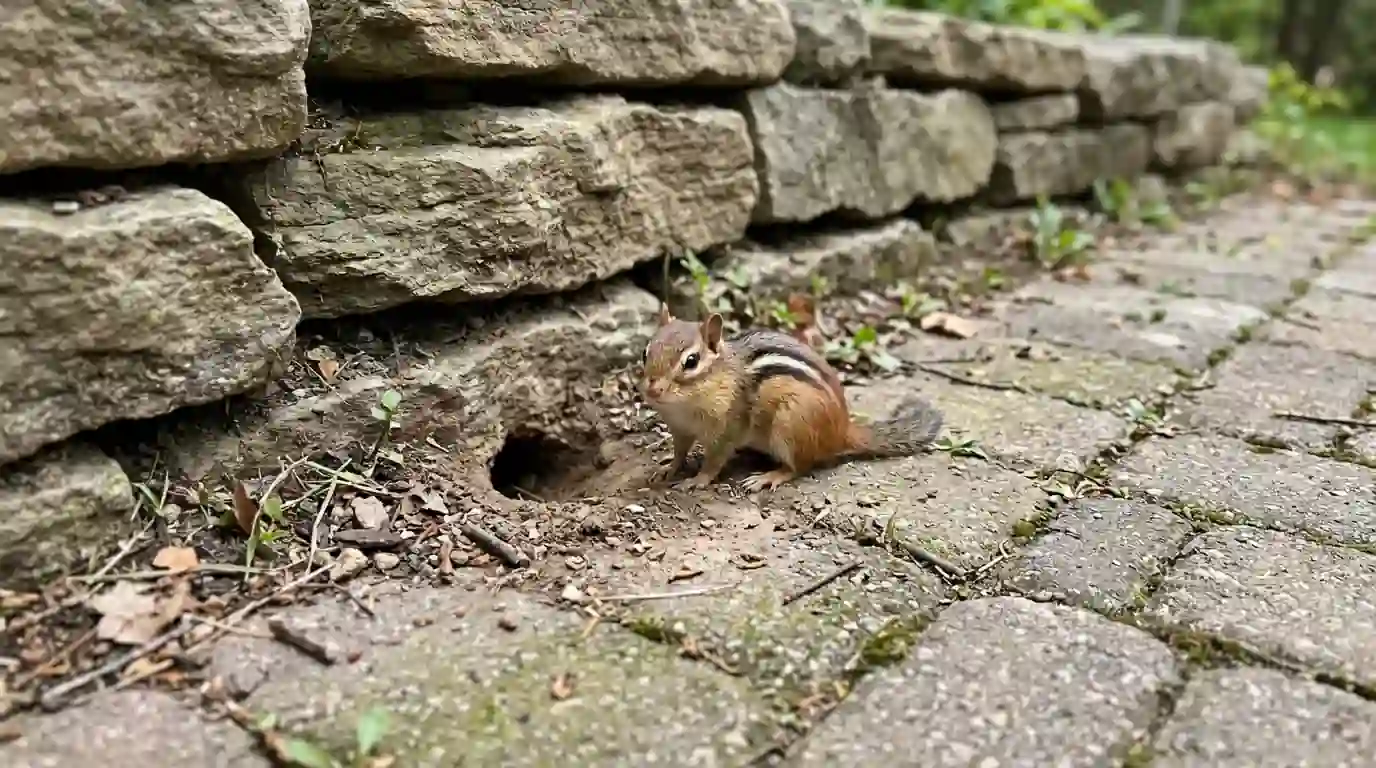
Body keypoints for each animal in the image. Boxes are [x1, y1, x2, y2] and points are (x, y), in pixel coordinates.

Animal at [640, 305, 944, 492]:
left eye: (691, 361)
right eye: (646, 352)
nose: (652, 390)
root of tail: (842, 431)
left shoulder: (727, 429)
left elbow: (714, 461)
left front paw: (697, 480)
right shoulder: (679, 428)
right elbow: (679, 451)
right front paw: (669, 468)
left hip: (790, 425)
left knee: (799, 467)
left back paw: (769, 476)